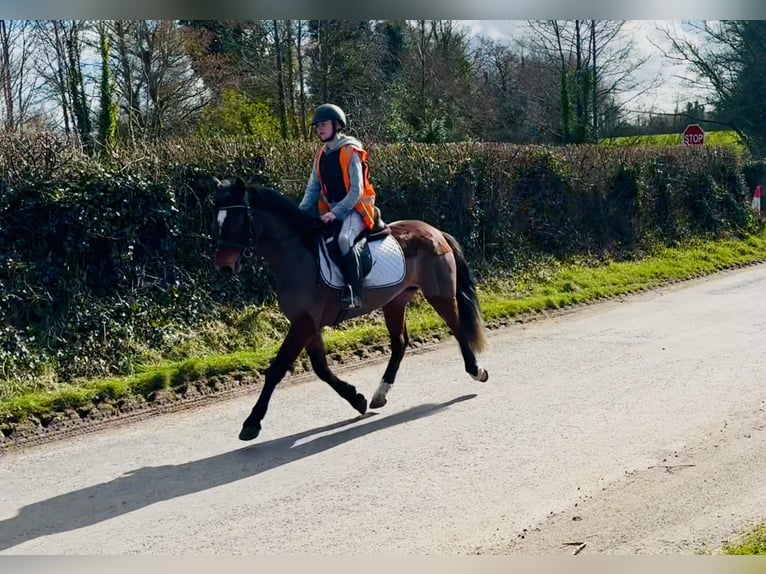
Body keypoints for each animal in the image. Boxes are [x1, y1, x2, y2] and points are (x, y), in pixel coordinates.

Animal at [213, 178, 488, 444]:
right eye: (217, 220)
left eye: (237, 218)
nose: (223, 267)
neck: (298, 257)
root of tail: (434, 231)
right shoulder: (309, 324)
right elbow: (321, 368)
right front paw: (357, 399)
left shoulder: (303, 324)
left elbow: (277, 369)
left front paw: (252, 423)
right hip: (395, 301)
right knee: (400, 343)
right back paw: (380, 394)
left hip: (439, 295)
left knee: (458, 329)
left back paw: (477, 371)